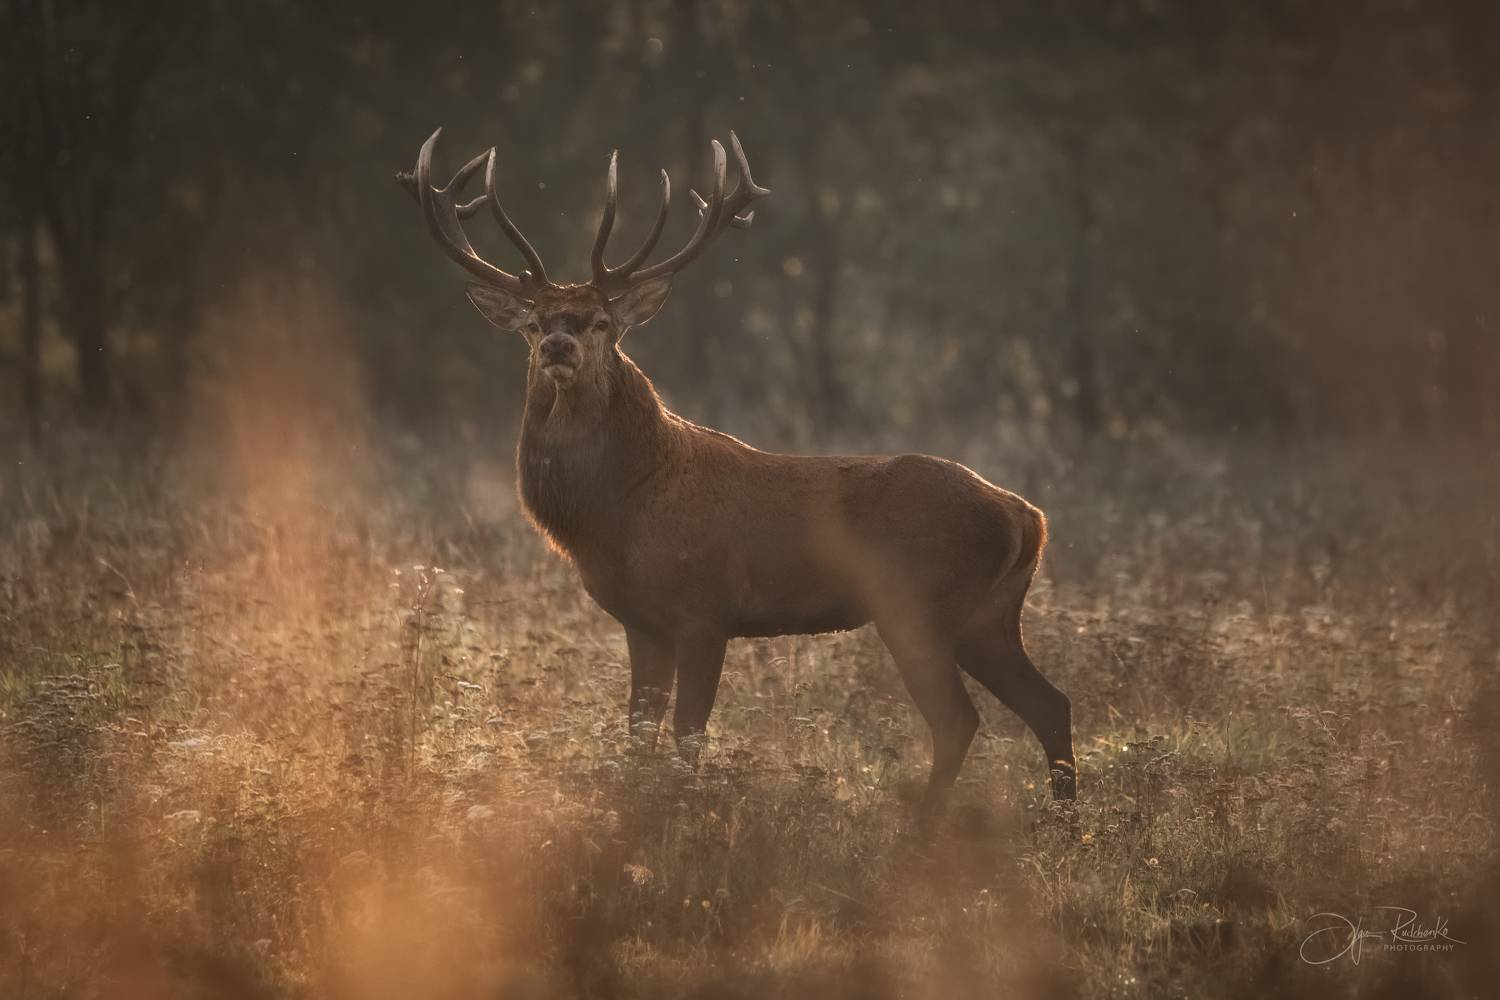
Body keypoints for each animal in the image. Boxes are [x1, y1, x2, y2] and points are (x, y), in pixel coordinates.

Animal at [397, 128, 1076, 810]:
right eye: (534, 321)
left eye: (602, 322)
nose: (558, 346)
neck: (620, 513)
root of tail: (1028, 517)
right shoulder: (641, 622)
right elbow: (639, 733)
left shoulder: (706, 608)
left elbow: (688, 735)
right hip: (988, 615)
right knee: (1051, 704)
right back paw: (1063, 822)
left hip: (917, 601)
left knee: (959, 717)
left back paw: (928, 825)